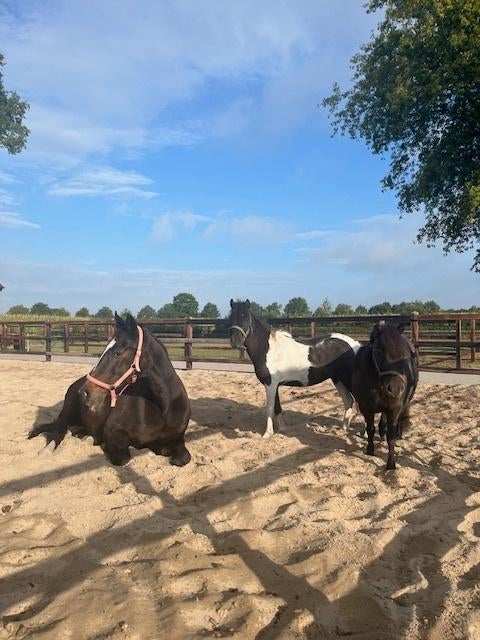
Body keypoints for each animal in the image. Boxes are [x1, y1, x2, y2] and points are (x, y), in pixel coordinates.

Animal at [28, 313, 191, 467]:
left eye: (117, 353)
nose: (85, 393)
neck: (162, 409)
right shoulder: (113, 432)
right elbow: (124, 457)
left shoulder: (177, 439)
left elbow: (182, 458)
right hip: (67, 414)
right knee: (57, 433)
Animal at [228, 299, 360, 438]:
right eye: (230, 317)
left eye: (246, 317)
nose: (235, 342)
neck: (266, 349)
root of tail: (355, 344)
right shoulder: (274, 385)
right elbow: (277, 407)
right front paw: (282, 428)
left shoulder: (270, 384)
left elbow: (269, 408)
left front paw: (267, 434)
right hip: (338, 379)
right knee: (348, 401)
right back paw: (343, 429)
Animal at [352, 322, 418, 470]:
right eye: (378, 352)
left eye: (404, 353)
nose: (395, 389)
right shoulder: (366, 408)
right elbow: (370, 429)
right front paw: (370, 451)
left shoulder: (394, 408)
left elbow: (391, 436)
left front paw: (391, 464)